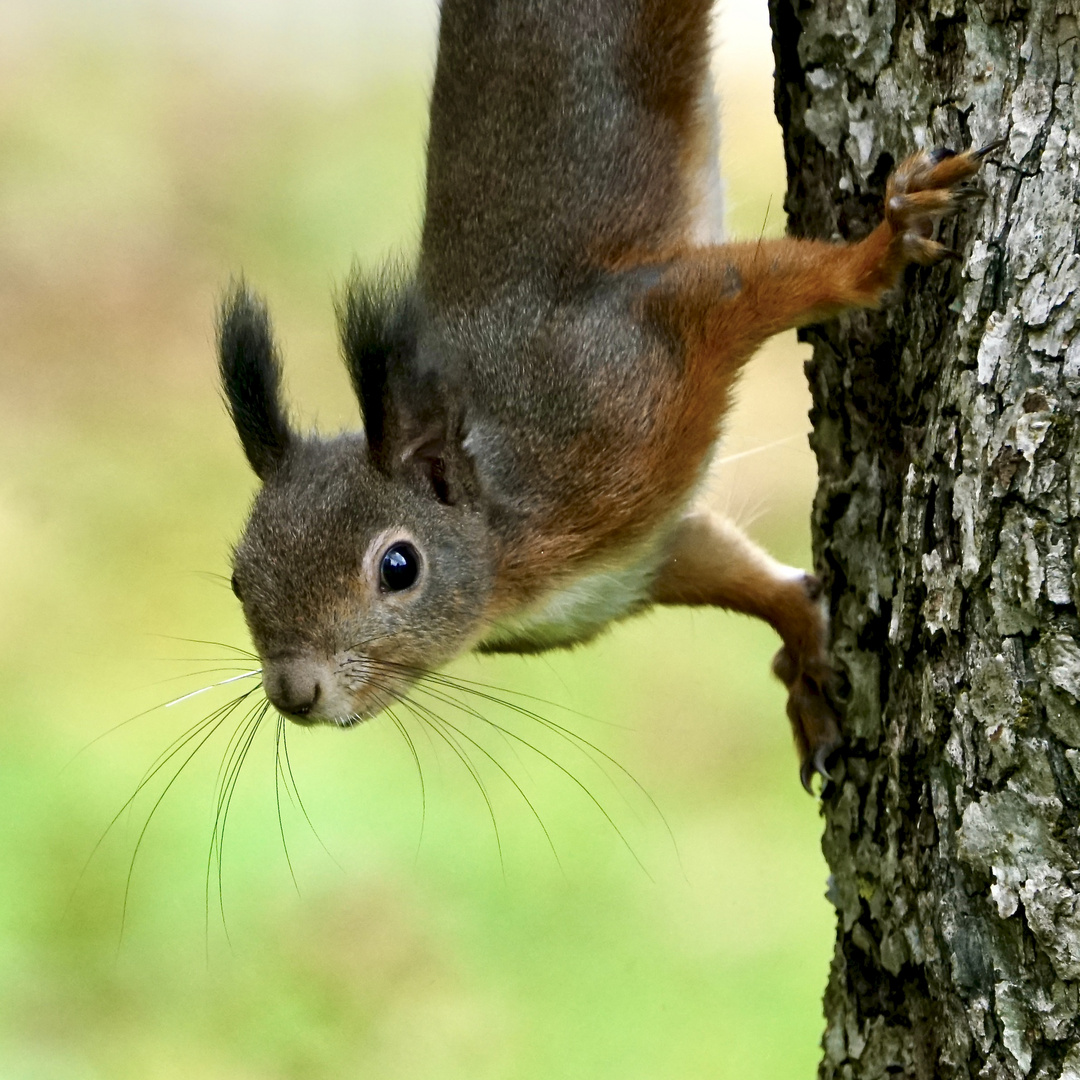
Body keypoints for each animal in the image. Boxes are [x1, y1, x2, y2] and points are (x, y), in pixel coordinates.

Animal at [219, 0, 993, 790]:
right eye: (239, 580)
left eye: (398, 567)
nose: (295, 692)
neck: (510, 544)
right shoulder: (635, 563)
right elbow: (736, 569)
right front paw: (806, 656)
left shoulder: (632, 351)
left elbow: (755, 283)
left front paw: (886, 244)